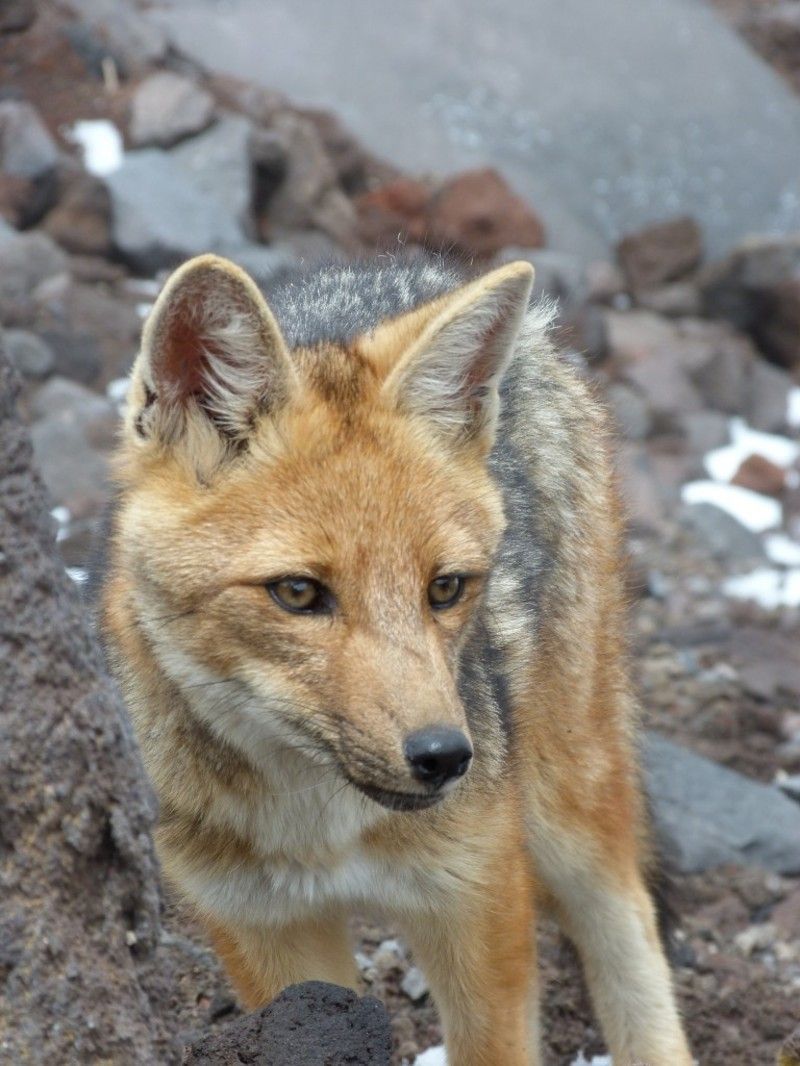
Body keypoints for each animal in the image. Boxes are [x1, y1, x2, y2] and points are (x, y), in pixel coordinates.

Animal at [101, 251, 695, 1066]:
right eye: (297, 592)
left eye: (444, 588)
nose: (445, 756)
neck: (322, 830)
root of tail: (406, 267)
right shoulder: (267, 936)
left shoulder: (476, 902)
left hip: (568, 806)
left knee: (628, 921)